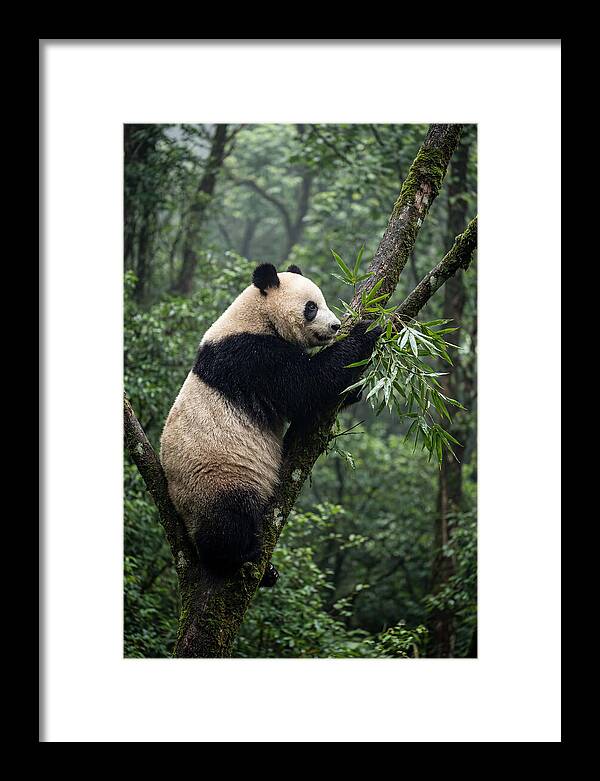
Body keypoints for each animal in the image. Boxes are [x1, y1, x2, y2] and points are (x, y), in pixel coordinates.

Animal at [160, 262, 381, 587]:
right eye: (311, 307)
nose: (336, 326)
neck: (256, 316)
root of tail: (180, 511)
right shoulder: (251, 357)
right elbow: (307, 386)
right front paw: (368, 329)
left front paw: (355, 389)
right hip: (215, 478)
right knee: (228, 520)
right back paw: (240, 557)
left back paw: (268, 572)